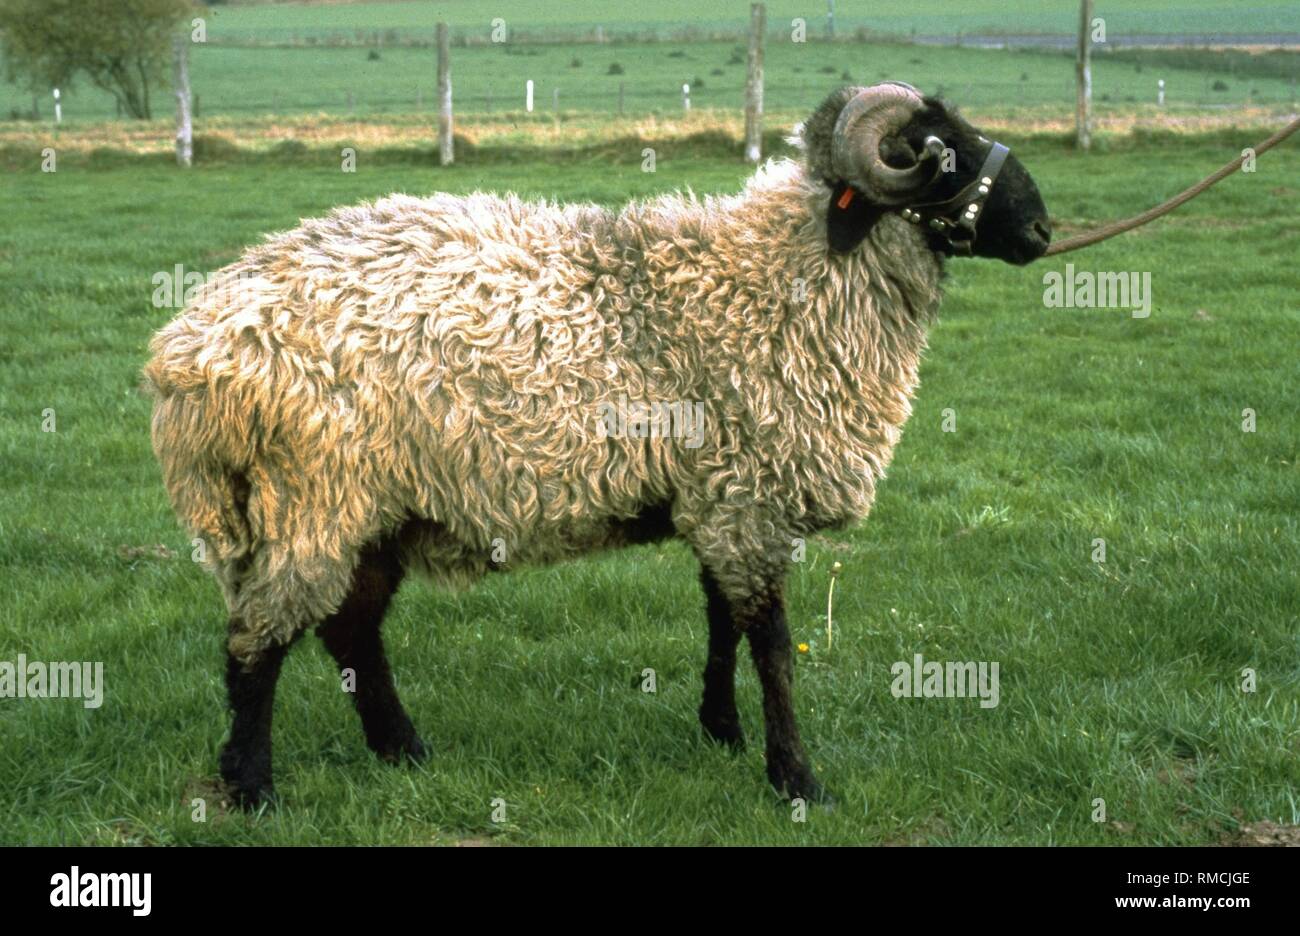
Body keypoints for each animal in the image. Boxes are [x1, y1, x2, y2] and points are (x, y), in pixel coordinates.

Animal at [147, 83, 1050, 806]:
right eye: (945, 153)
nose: (1043, 229)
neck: (781, 281)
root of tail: (190, 354)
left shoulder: (719, 494)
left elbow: (721, 621)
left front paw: (720, 731)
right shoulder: (750, 501)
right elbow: (772, 648)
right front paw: (796, 779)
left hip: (370, 503)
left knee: (349, 631)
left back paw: (401, 750)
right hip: (312, 494)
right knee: (257, 640)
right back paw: (254, 786)